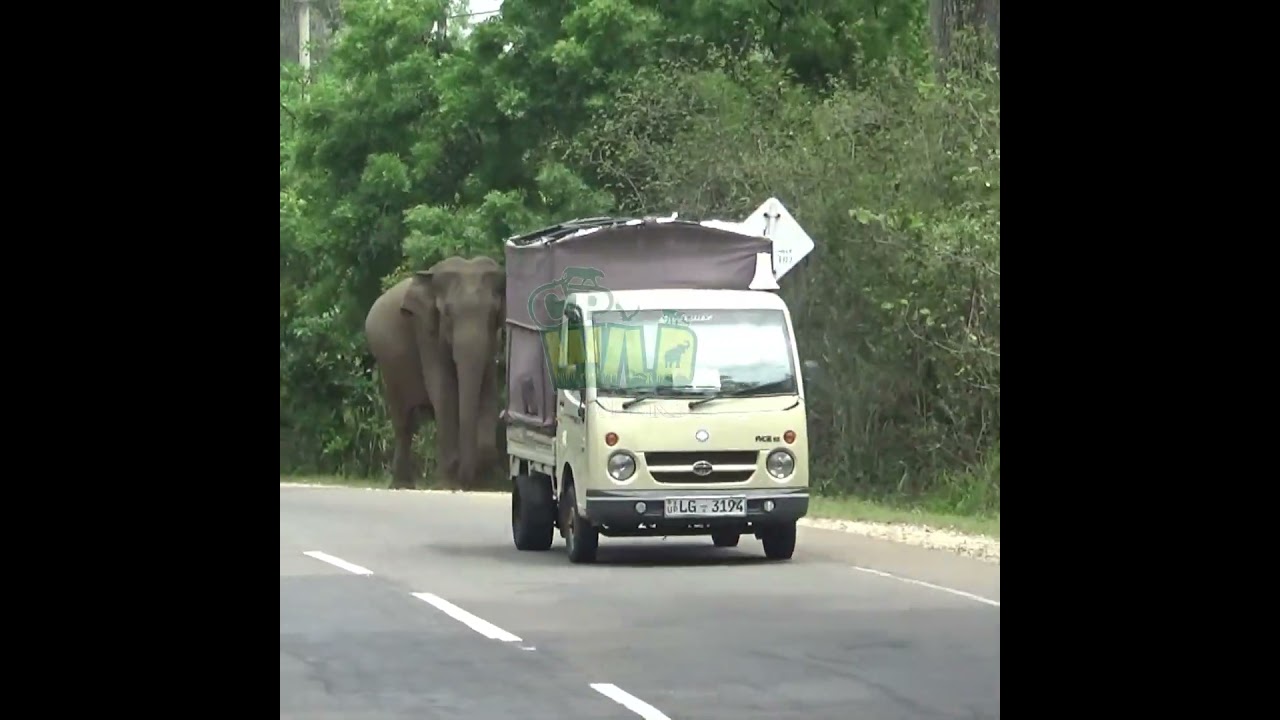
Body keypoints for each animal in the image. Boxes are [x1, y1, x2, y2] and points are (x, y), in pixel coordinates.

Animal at [364, 255, 506, 490]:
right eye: (447, 313)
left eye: (493, 314)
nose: (465, 484)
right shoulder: (426, 331)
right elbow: (442, 388)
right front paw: (448, 483)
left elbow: (488, 387)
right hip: (387, 366)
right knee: (404, 422)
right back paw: (402, 485)